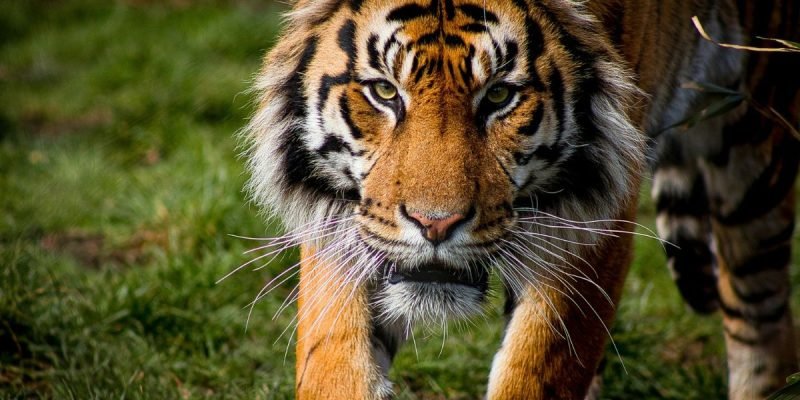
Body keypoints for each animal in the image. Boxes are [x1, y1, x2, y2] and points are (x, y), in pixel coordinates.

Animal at [242, 0, 800, 398]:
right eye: (384, 92)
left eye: (498, 96)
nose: (435, 224)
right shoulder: (345, 227)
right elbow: (333, 362)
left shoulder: (589, 224)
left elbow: (539, 366)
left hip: (754, 148)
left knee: (762, 324)